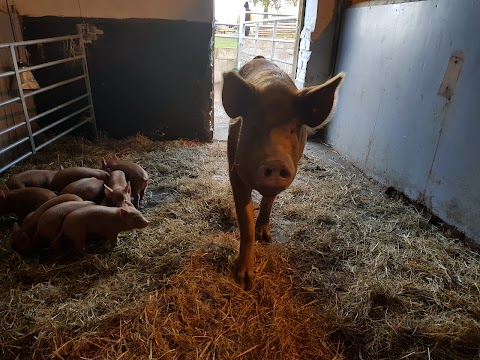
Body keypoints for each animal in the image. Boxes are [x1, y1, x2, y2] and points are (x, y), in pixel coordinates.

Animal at [223, 57, 344, 292]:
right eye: (253, 126)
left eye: (292, 129)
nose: (275, 161)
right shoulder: (235, 171)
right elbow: (246, 223)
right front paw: (245, 282)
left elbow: (268, 201)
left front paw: (266, 238)